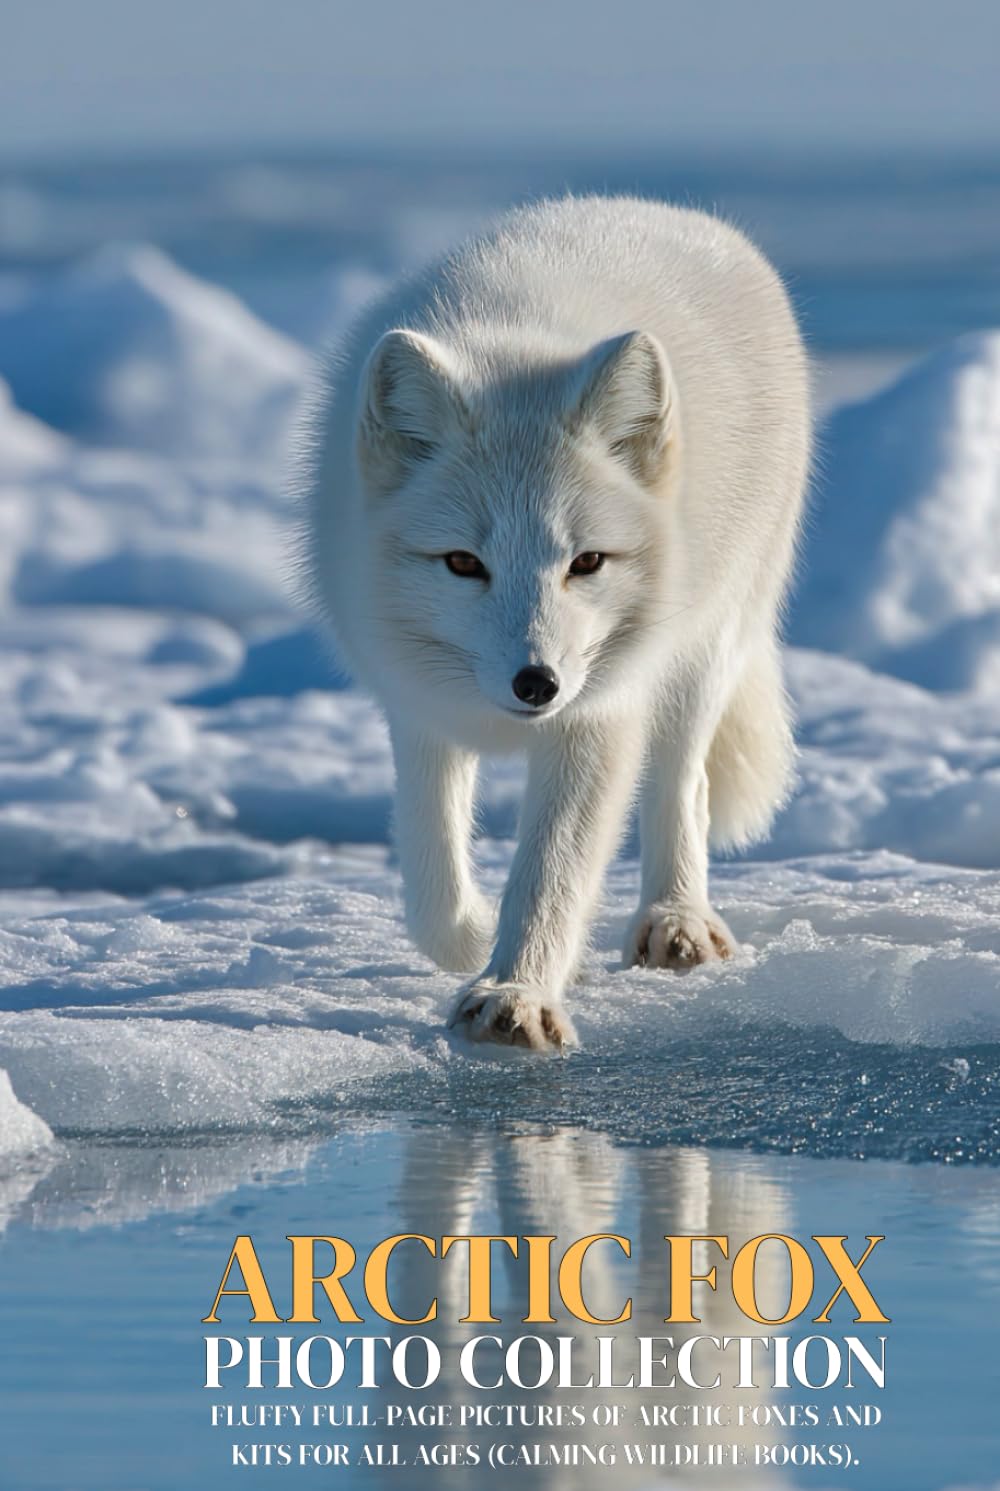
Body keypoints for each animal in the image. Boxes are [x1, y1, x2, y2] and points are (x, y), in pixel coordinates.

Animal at [295, 195, 810, 1051]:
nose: (536, 683)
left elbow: (552, 870)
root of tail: (666, 210)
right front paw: (474, 934)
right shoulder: (416, 704)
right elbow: (430, 872)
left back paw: (676, 918)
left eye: (588, 561)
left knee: (685, 784)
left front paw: (515, 993)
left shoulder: (600, 712)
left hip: (710, 639)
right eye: (463, 562)